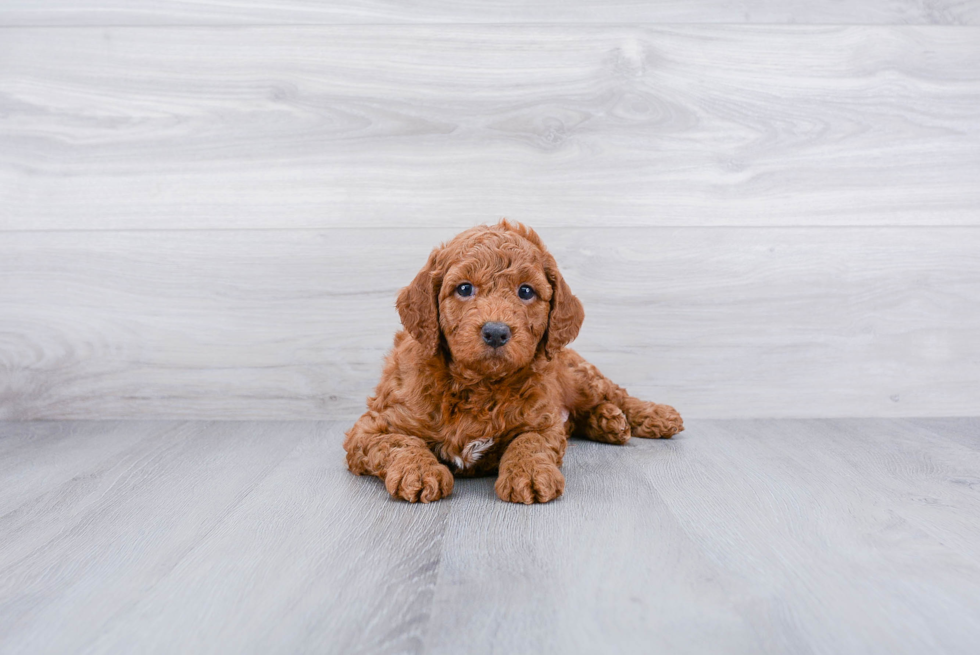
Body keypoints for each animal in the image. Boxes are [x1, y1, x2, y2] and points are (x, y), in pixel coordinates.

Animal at [344, 219, 680, 502]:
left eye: (526, 291)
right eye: (464, 288)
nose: (496, 332)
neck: (478, 385)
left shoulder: (544, 423)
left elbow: (528, 441)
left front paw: (529, 474)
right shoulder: (371, 427)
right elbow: (400, 442)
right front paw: (418, 471)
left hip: (579, 375)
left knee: (615, 394)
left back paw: (654, 415)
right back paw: (609, 422)